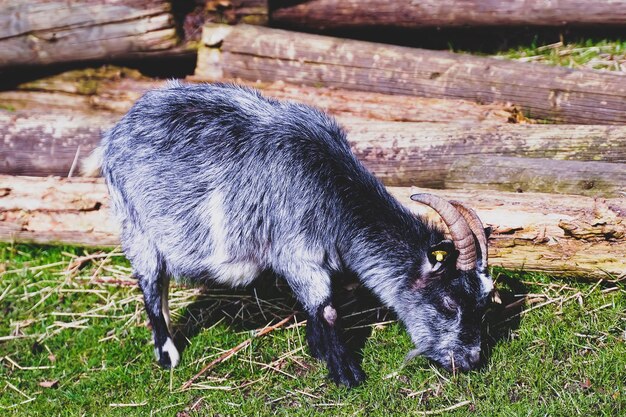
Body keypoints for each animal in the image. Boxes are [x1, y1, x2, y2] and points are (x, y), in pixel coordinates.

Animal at [84, 81, 492, 386]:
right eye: (448, 303)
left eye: (484, 301)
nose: (471, 359)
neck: (331, 190)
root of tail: (114, 133)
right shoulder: (297, 253)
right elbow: (327, 309)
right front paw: (346, 373)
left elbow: (319, 307)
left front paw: (317, 348)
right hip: (136, 226)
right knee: (152, 286)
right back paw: (168, 354)